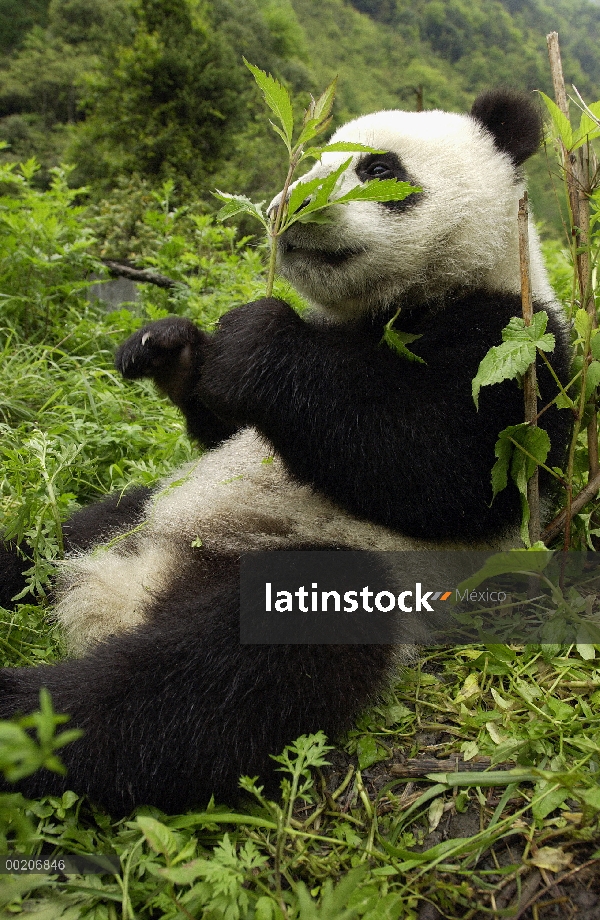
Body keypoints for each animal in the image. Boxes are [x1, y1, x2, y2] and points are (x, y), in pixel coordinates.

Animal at [0, 90, 572, 816]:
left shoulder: (518, 351)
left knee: (203, 685)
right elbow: (227, 430)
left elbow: (440, 467)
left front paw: (254, 340)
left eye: (379, 168)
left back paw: (22, 714)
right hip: (133, 515)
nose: (288, 209)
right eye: (313, 159)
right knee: (47, 544)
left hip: (330, 574)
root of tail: (125, 594)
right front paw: (170, 349)